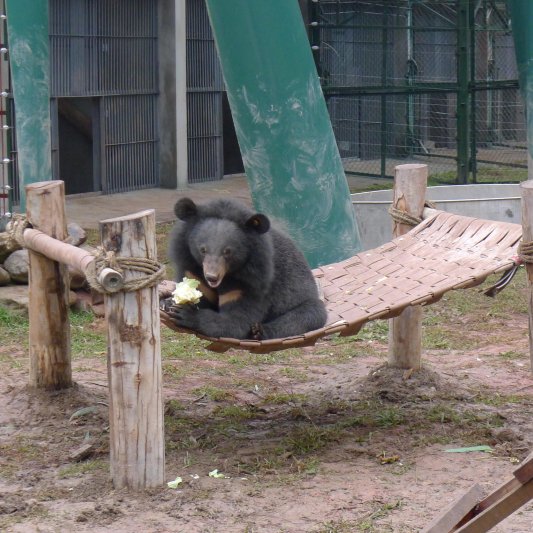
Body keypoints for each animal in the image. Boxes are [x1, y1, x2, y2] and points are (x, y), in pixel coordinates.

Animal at [164, 196, 326, 340]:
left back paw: (259, 331)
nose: (211, 277)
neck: (229, 275)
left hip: (304, 301)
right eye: (203, 250)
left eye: (227, 252)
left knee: (305, 316)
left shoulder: (250, 284)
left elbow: (236, 321)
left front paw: (185, 314)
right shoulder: (193, 269)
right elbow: (199, 293)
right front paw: (169, 303)